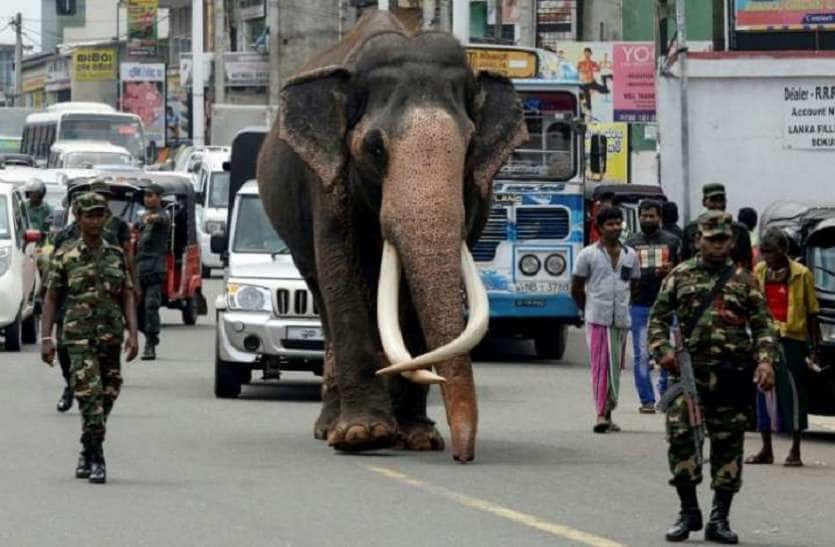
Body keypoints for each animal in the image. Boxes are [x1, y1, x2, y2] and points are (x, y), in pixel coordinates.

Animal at [256, 11, 526, 462]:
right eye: (375, 148)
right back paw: (330, 428)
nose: (463, 455)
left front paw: (418, 438)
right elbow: (340, 273)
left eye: (470, 148)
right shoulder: (327, 183)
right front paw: (361, 435)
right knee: (323, 297)